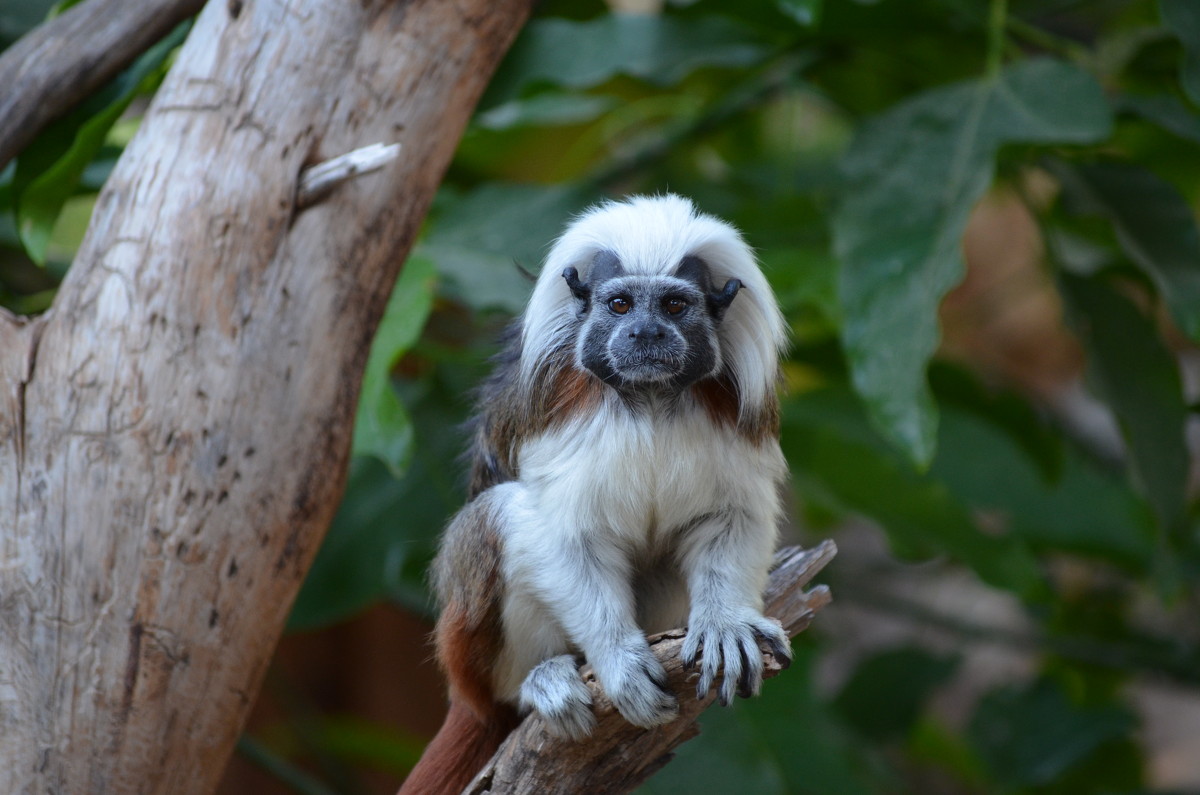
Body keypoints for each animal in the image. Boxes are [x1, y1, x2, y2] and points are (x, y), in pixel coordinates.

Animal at [403, 194, 792, 795]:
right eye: (620, 304)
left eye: (674, 306)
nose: (646, 334)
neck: (651, 400)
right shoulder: (563, 420)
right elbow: (564, 539)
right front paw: (618, 664)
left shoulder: (735, 418)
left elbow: (732, 517)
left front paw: (725, 625)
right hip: (468, 653)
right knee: (493, 520)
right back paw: (540, 683)